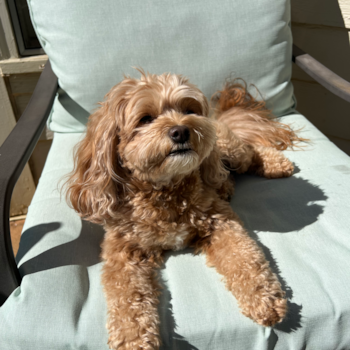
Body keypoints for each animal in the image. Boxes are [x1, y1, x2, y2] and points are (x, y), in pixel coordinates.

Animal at [65, 69, 300, 348]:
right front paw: (134, 338)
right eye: (145, 119)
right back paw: (227, 185)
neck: (166, 189)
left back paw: (277, 164)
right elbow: (126, 297)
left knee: (250, 151)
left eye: (188, 109)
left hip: (228, 150)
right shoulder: (123, 251)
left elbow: (244, 257)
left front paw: (265, 299)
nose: (181, 131)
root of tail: (216, 119)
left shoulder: (220, 221)